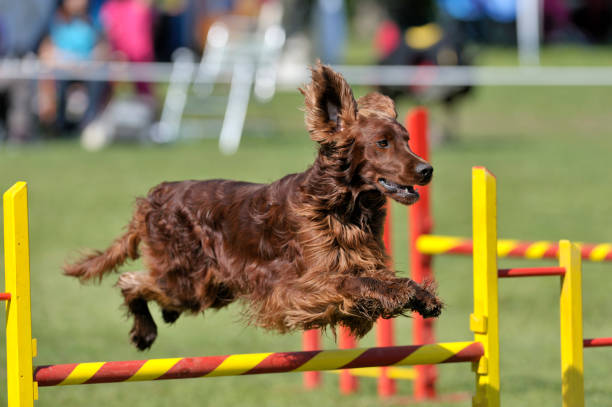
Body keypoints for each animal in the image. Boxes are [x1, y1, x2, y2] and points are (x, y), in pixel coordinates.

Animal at [64, 63, 442, 350]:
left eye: (408, 139)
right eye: (382, 143)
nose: (427, 170)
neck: (341, 207)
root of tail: (157, 195)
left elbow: (379, 279)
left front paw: (421, 294)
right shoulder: (303, 287)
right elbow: (358, 285)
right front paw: (403, 293)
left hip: (207, 288)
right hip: (187, 280)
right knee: (130, 279)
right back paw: (144, 331)